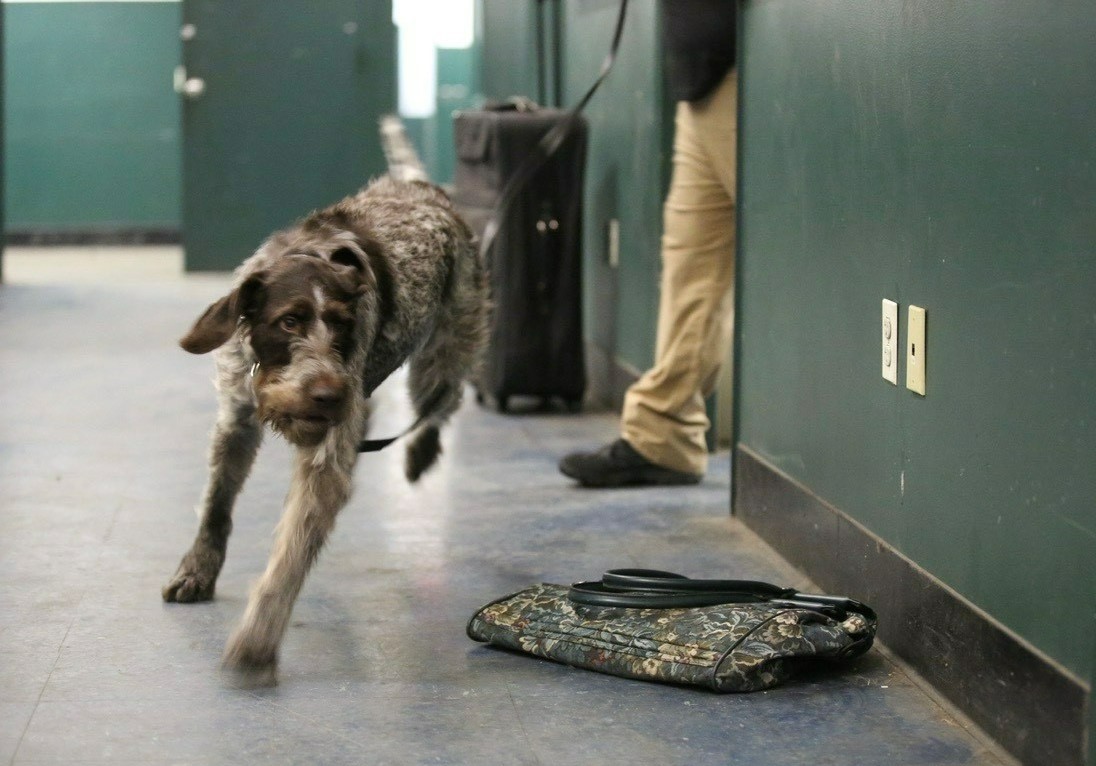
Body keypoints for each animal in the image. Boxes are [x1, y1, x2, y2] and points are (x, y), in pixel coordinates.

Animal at [163, 176, 488, 688]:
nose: (331, 394)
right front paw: (197, 569)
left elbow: (290, 556)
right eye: (289, 321)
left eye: (341, 325)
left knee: (438, 408)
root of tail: (420, 185)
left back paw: (420, 451)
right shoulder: (235, 420)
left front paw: (257, 640)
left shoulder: (324, 457)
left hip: (447, 355)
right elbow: (216, 506)